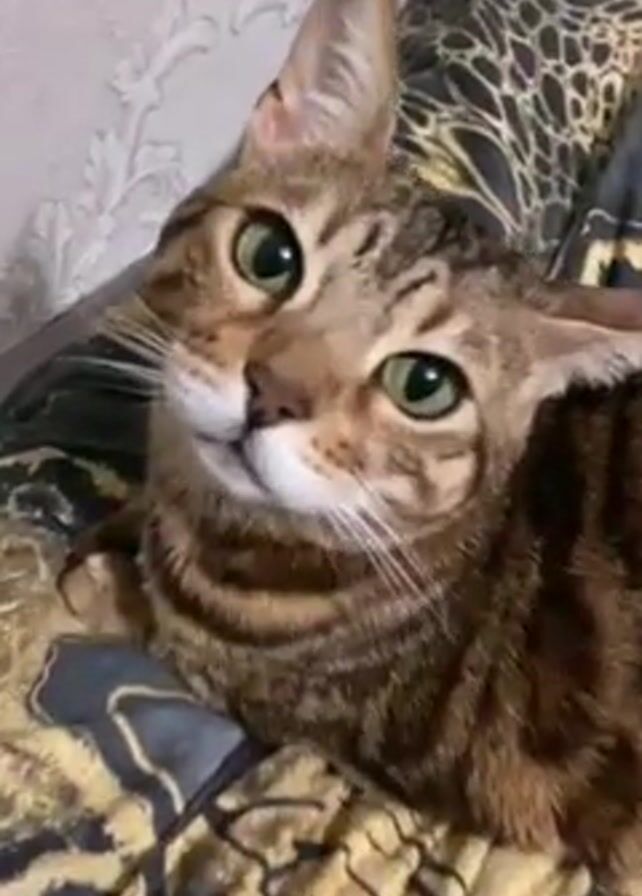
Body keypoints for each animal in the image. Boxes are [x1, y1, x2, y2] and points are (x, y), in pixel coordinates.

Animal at [71, 0, 642, 888]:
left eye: (424, 384)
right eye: (269, 254)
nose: (271, 394)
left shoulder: (254, 690)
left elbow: (143, 614)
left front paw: (95, 579)